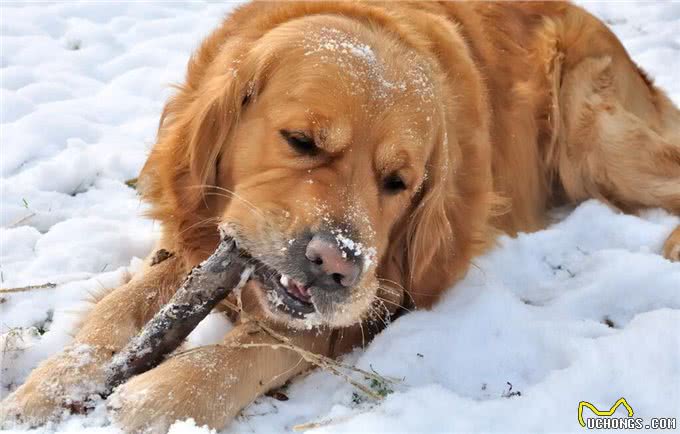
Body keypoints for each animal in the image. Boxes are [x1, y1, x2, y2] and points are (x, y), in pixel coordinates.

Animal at [3, 1, 680, 432]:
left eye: (399, 183)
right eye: (300, 141)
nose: (335, 265)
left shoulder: (376, 299)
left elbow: (254, 348)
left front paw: (157, 396)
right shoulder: (196, 242)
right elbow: (119, 313)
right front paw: (51, 386)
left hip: (597, 143)